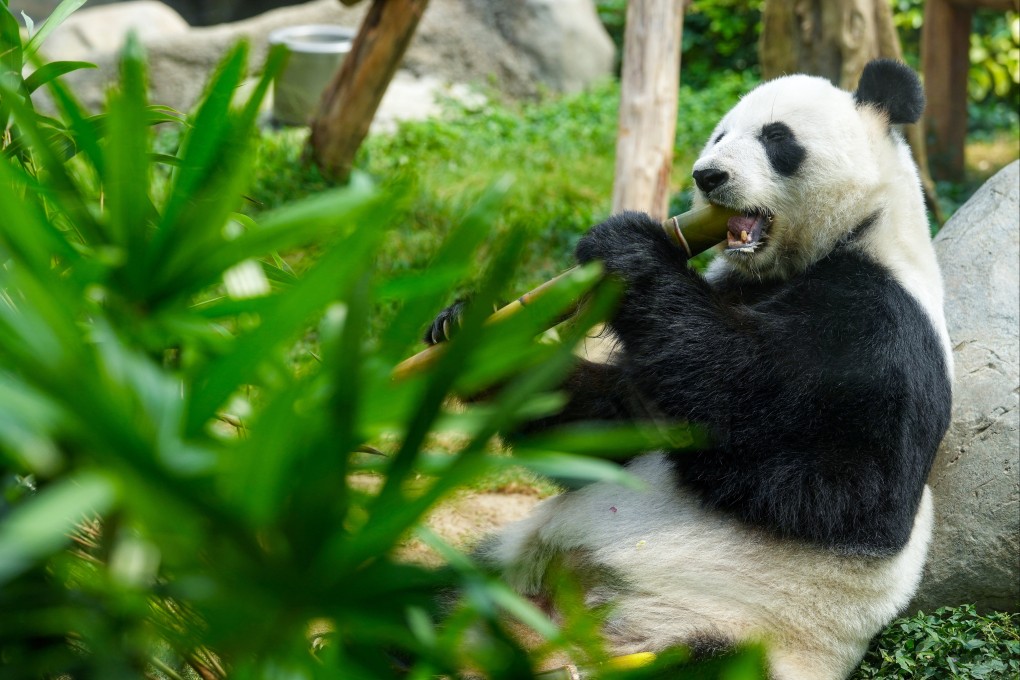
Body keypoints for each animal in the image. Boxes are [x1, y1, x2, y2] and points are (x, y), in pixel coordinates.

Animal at [426, 58, 950, 680]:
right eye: (720, 135)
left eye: (777, 139)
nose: (707, 176)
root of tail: (557, 643)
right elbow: (603, 424)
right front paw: (472, 334)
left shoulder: (883, 330)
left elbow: (841, 488)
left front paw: (627, 246)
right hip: (505, 573)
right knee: (433, 598)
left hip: (731, 637)